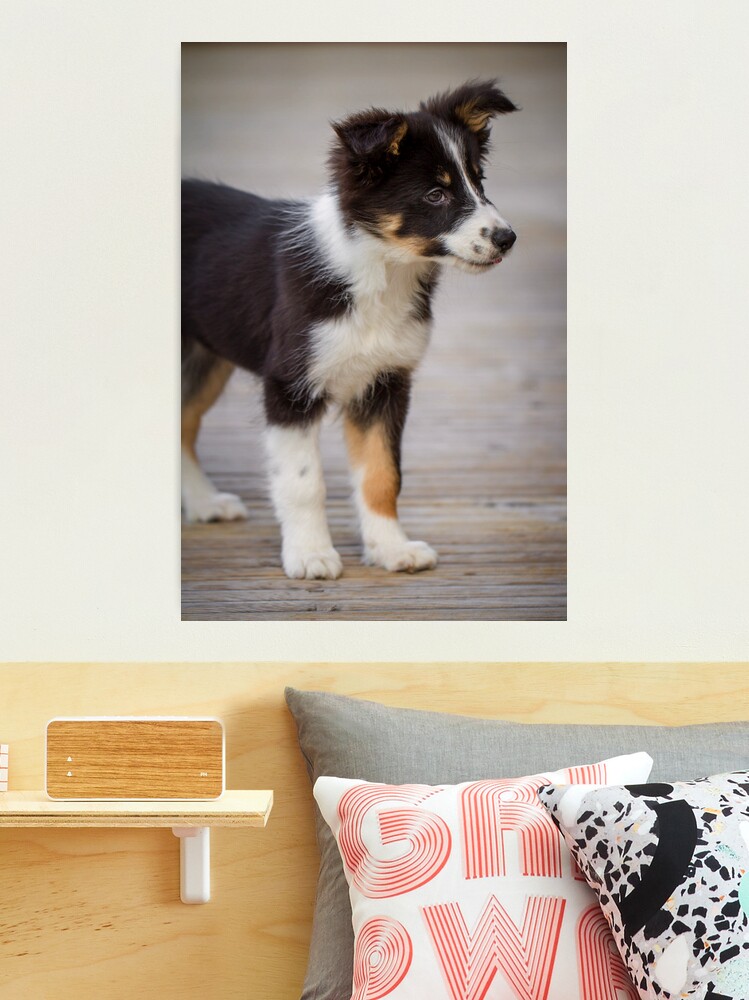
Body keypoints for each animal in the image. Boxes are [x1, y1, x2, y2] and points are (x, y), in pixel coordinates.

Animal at [184, 82, 516, 584]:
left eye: (479, 183)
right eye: (435, 194)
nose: (507, 238)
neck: (381, 272)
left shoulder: (384, 383)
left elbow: (382, 475)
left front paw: (391, 549)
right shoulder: (290, 387)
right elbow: (303, 482)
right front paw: (310, 554)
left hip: (206, 359)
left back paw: (204, 503)